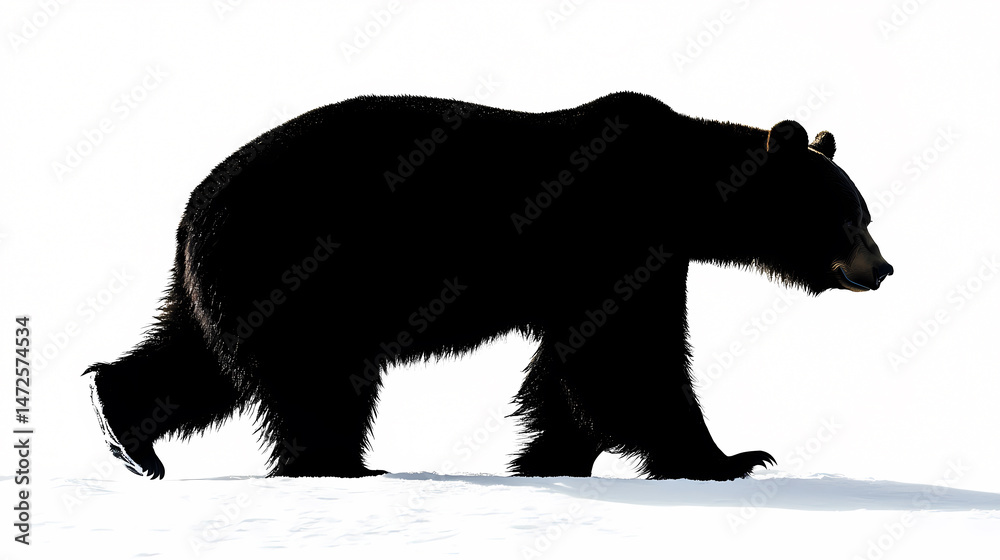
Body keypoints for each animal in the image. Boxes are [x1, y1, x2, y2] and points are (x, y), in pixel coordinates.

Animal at [86, 92, 892, 481]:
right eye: (849, 216)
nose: (881, 269)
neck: (677, 189)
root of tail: (191, 210)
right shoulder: (614, 233)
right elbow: (629, 358)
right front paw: (730, 459)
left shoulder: (628, 258)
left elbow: (574, 366)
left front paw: (550, 457)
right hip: (304, 265)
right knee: (320, 376)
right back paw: (340, 465)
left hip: (235, 278)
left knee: (193, 359)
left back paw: (125, 427)